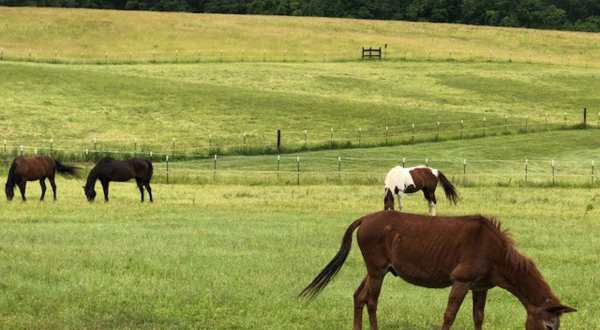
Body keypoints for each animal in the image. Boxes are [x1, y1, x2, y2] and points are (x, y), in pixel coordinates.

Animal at [300, 211, 576, 330]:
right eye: (549, 326)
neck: (496, 252)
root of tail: (365, 218)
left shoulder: (481, 286)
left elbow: (478, 316)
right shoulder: (461, 281)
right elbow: (449, 316)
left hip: (377, 269)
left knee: (359, 296)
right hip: (377, 270)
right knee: (371, 301)